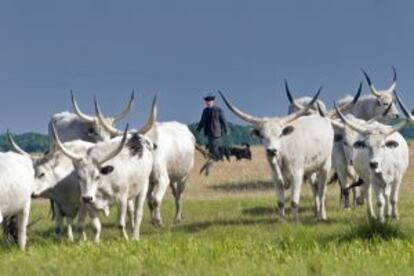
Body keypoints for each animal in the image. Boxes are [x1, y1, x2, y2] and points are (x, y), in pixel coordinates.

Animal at [95, 97, 196, 226]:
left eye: (135, 147)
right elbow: (149, 201)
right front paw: (153, 220)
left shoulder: (163, 179)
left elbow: (156, 200)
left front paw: (158, 221)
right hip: (169, 177)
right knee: (172, 194)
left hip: (184, 176)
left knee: (179, 194)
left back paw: (177, 218)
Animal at [220, 89, 334, 221]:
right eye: (262, 136)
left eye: (280, 135)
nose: (272, 150)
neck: (282, 152)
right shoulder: (275, 177)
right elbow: (280, 202)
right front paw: (281, 221)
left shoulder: (297, 174)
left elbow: (294, 201)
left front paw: (296, 221)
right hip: (311, 169)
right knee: (315, 188)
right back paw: (316, 213)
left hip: (325, 165)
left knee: (322, 191)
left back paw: (322, 215)